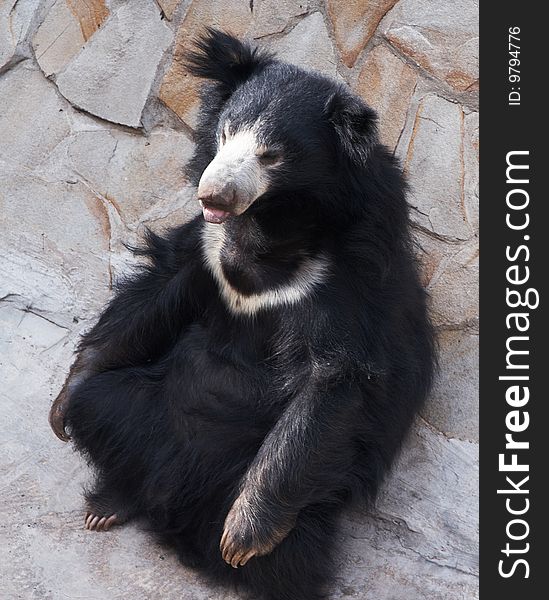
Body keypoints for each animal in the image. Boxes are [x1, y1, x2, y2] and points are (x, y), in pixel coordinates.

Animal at [50, 28, 436, 600]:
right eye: (227, 132)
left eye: (270, 155)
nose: (212, 193)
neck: (269, 227)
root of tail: (171, 504)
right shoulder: (206, 248)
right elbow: (153, 296)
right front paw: (61, 403)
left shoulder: (348, 276)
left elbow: (332, 381)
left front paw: (242, 535)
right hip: (144, 413)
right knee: (100, 406)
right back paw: (111, 502)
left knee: (297, 548)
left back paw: (253, 564)